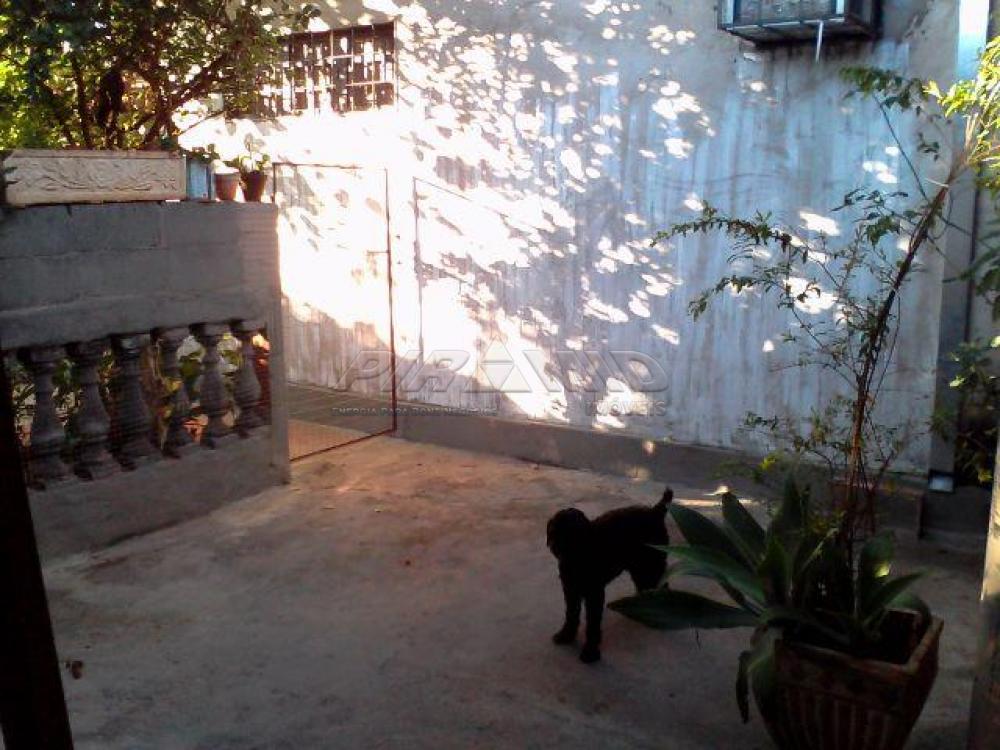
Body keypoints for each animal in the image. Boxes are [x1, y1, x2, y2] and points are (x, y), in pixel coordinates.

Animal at [546, 487, 673, 663]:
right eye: (554, 531)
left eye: (575, 534)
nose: (556, 545)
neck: (578, 558)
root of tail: (655, 511)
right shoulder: (571, 590)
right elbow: (571, 614)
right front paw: (566, 635)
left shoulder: (594, 594)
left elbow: (592, 623)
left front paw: (590, 651)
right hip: (638, 567)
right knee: (644, 585)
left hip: (652, 564)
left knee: (662, 585)